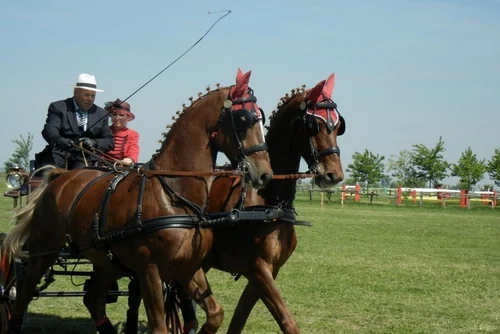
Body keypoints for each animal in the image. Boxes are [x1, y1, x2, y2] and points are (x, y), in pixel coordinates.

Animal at [0, 68, 274, 334]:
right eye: (244, 119)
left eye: (261, 118)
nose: (265, 174)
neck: (174, 194)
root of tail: (60, 176)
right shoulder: (149, 269)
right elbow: (160, 327)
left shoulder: (187, 267)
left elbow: (215, 314)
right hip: (43, 250)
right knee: (23, 292)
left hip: (104, 259)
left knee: (93, 299)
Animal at [126, 73, 344, 334]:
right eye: (314, 125)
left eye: (338, 126)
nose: (334, 175)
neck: (270, 203)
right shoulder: (258, 269)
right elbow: (287, 322)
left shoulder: (266, 273)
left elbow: (239, 320)